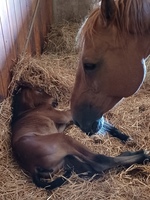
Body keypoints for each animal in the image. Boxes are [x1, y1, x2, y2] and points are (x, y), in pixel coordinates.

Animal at [10, 82, 150, 190]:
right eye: (38, 90)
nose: (55, 100)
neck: (27, 111)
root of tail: (32, 167)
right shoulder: (63, 116)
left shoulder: (63, 124)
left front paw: (125, 138)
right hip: (63, 140)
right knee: (100, 162)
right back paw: (143, 155)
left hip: (67, 159)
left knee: (92, 169)